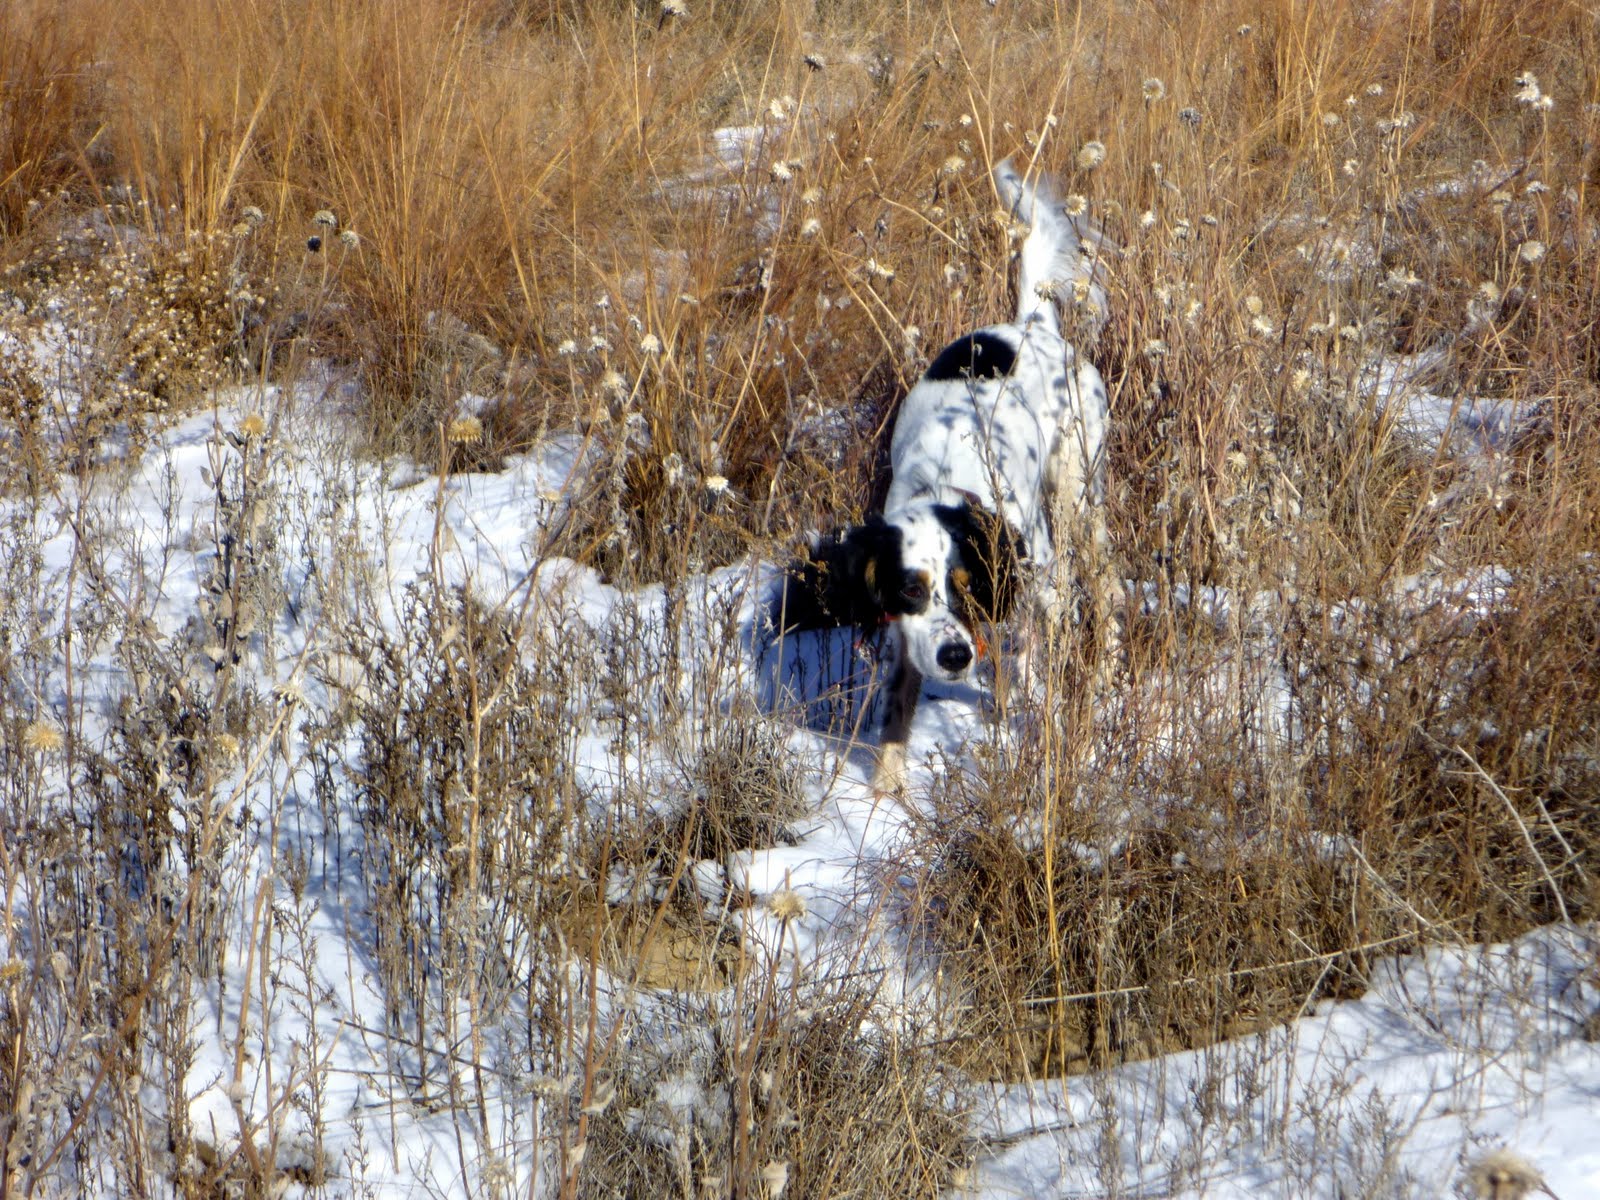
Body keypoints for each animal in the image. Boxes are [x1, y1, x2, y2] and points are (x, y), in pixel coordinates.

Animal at [773, 160, 1110, 793]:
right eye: (911, 589)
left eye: (967, 585)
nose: (955, 658)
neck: (948, 488)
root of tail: (1031, 325)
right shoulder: (905, 637)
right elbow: (896, 711)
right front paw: (885, 796)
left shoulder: (1038, 582)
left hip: (1081, 494)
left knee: (1104, 588)